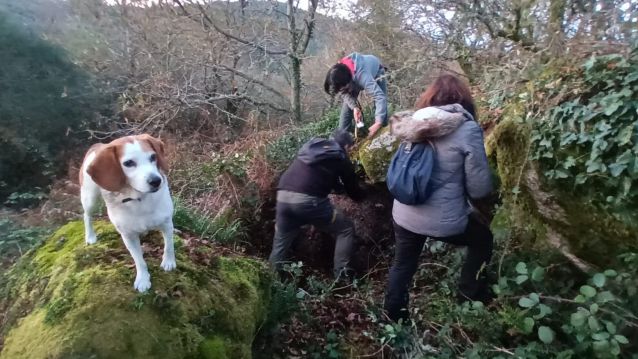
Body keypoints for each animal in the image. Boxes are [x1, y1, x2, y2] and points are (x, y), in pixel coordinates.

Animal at [82, 134, 178, 292]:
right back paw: (90, 236)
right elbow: (139, 260)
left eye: (153, 157)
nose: (156, 181)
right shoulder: (128, 236)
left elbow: (169, 246)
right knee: (87, 216)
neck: (139, 199)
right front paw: (143, 279)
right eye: (128, 163)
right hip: (90, 199)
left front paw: (169, 262)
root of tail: (98, 145)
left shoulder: (166, 223)